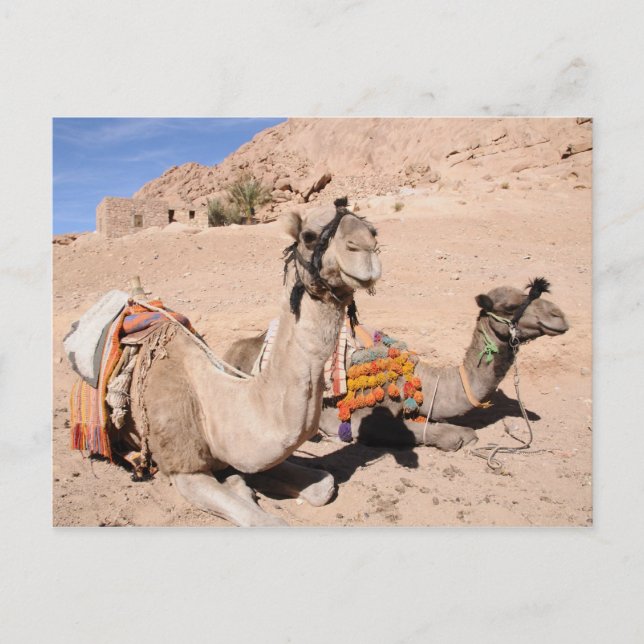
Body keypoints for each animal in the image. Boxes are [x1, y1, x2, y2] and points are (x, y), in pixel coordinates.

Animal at [118, 199, 381, 526]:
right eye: (308, 236)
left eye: (372, 230)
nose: (365, 247)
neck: (212, 406)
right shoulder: (183, 469)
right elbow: (267, 520)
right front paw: (239, 487)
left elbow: (324, 484)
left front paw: (241, 482)